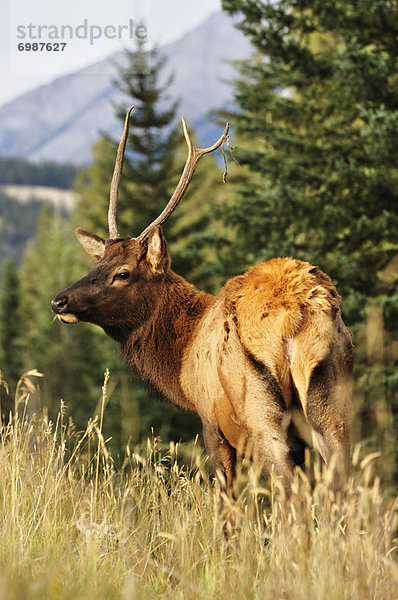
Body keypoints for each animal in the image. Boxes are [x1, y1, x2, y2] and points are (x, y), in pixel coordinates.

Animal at [51, 108, 352, 502]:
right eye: (93, 266)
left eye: (122, 273)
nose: (60, 300)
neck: (181, 360)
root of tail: (297, 317)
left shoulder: (211, 421)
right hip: (333, 399)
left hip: (261, 411)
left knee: (290, 492)